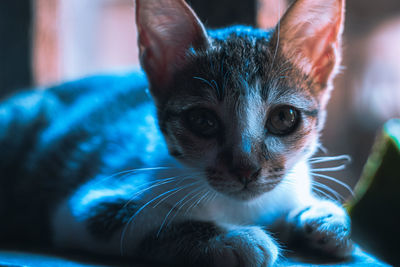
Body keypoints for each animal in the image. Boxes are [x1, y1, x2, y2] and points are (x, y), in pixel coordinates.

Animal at [0, 0, 354, 266]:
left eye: (283, 117)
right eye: (203, 121)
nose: (246, 170)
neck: (244, 207)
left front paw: (324, 217)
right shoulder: (85, 207)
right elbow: (141, 219)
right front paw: (234, 238)